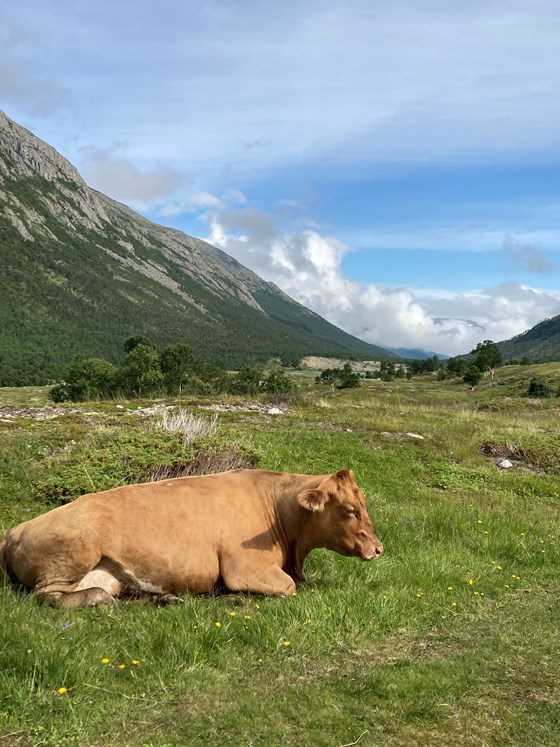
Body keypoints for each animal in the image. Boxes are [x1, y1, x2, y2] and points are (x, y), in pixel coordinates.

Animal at [0, 468, 382, 608]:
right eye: (349, 509)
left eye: (364, 503)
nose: (378, 548)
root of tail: (14, 529)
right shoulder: (246, 568)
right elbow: (288, 587)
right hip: (73, 555)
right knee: (48, 596)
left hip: (110, 573)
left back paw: (163, 598)